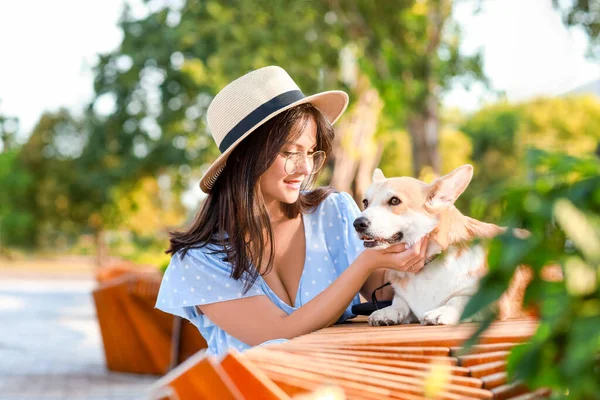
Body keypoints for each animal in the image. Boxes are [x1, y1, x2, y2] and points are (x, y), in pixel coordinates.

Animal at [354, 165, 528, 324]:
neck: (429, 263)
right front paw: (388, 312)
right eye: (365, 202)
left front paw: (441, 311)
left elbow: (458, 300)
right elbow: (400, 302)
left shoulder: (493, 303)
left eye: (395, 201)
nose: (357, 223)